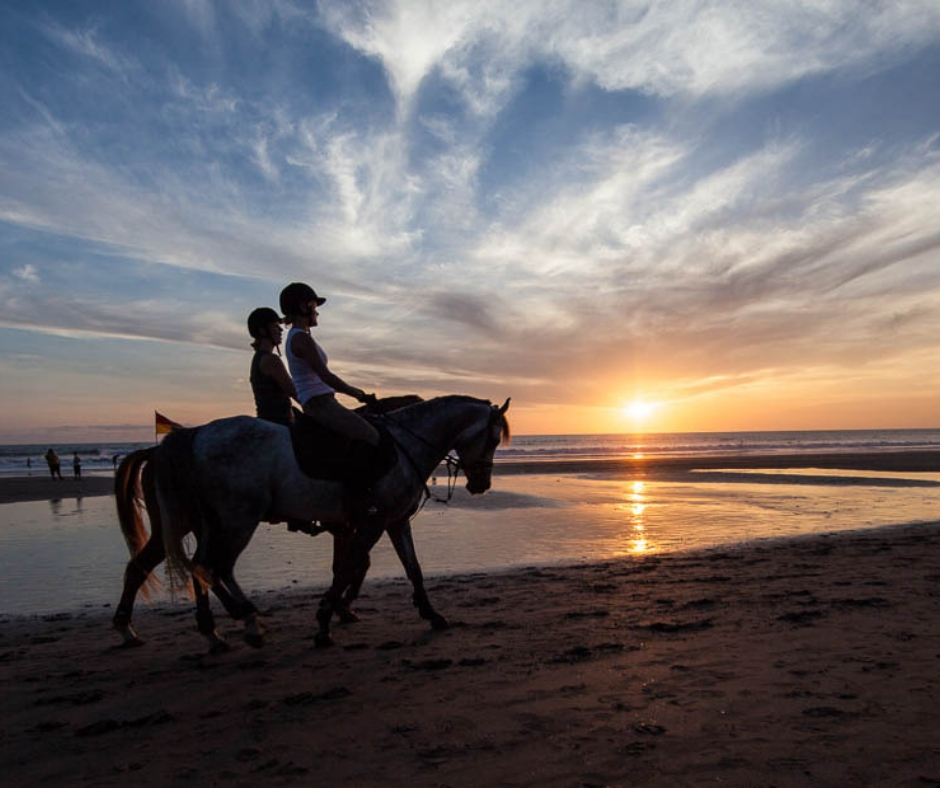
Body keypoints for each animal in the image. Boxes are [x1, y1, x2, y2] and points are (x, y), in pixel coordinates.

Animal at [115, 398, 516, 648]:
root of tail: (190, 436)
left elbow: (411, 568)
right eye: (494, 439)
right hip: (235, 520)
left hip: (204, 524)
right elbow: (349, 567)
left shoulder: (394, 521)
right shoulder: (370, 523)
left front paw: (431, 614)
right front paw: (326, 620)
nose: (481, 484)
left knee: (173, 567)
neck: (402, 447)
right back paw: (238, 623)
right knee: (210, 566)